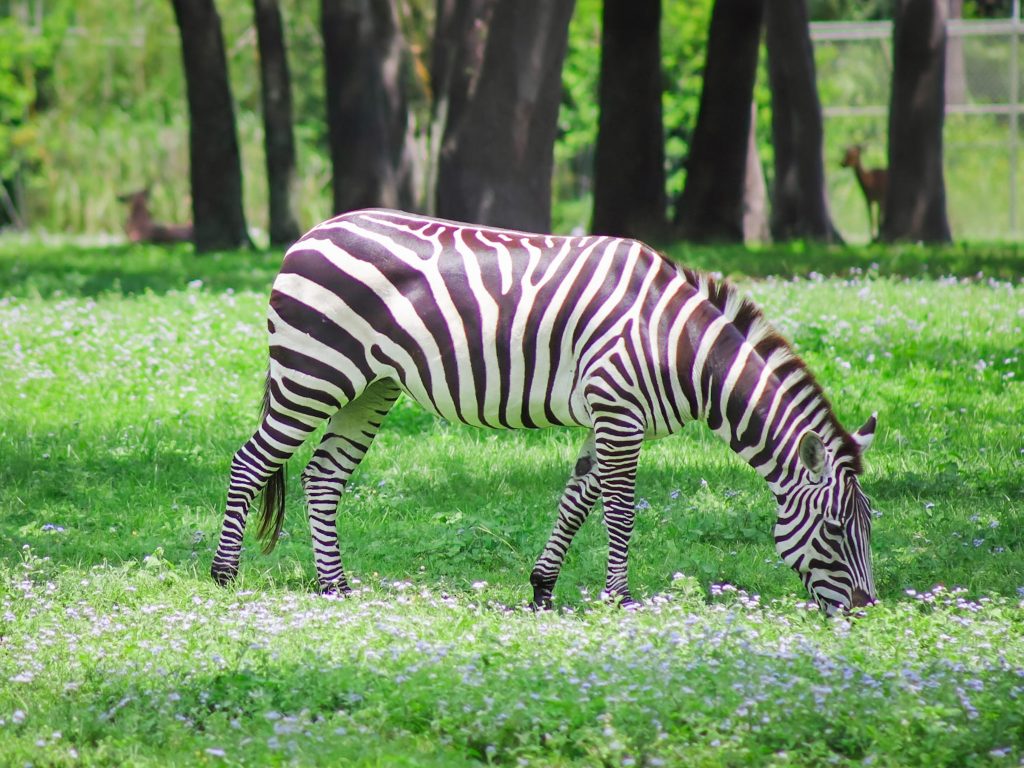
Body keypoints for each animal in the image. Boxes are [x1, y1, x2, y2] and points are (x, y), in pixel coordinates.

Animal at [209, 207, 880, 618]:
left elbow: (576, 499)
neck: (676, 344)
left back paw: (337, 589)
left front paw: (541, 589)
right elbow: (619, 510)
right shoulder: (619, 412)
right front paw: (619, 601)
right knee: (250, 462)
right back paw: (223, 577)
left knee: (323, 477)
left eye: (869, 527)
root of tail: (311, 232)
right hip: (312, 372)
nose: (866, 610)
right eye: (834, 530)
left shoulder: (609, 416)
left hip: (369, 386)